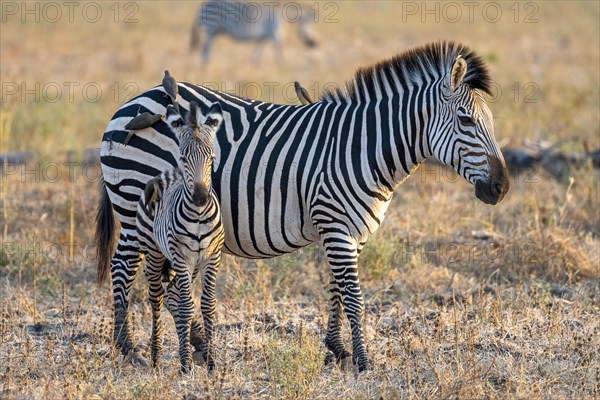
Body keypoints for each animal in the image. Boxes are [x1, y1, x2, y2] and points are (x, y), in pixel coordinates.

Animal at [135, 102, 225, 372]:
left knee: (172, 294)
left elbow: (207, 305)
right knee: (157, 298)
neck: (199, 216)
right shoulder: (182, 258)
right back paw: (155, 356)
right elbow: (186, 306)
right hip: (154, 253)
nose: (201, 198)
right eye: (184, 157)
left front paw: (211, 362)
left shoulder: (211, 257)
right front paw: (185, 364)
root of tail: (166, 174)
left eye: (212, 158)